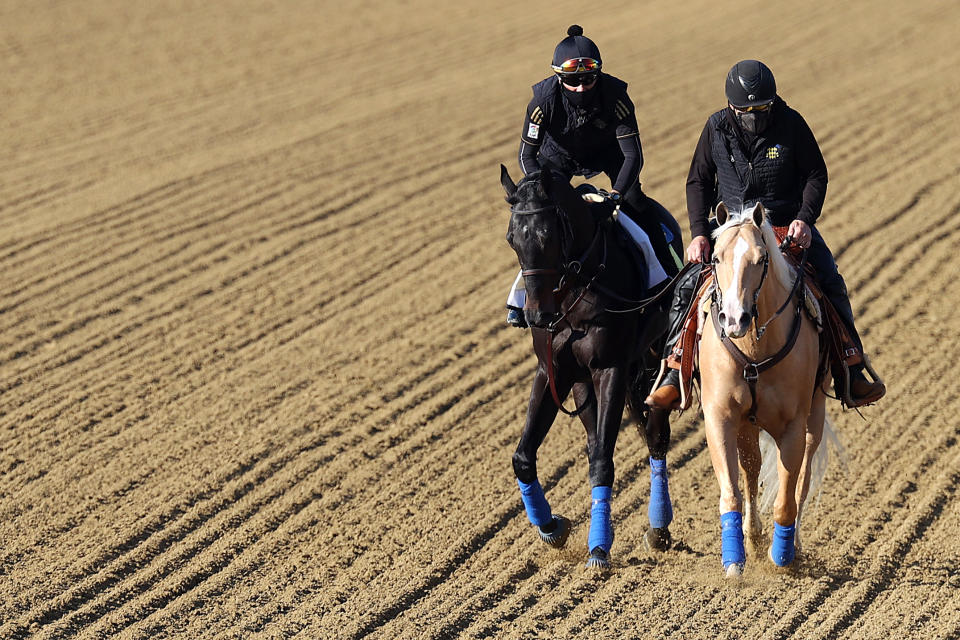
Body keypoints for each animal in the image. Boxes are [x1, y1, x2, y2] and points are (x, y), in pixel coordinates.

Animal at [498, 168, 680, 568]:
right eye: (511, 238)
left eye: (548, 234)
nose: (537, 315)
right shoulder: (553, 371)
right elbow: (523, 456)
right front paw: (550, 527)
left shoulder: (610, 369)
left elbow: (603, 462)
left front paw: (598, 547)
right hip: (584, 384)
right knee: (596, 439)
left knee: (656, 438)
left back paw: (659, 529)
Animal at [700, 202, 828, 576]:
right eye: (716, 257)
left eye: (760, 259)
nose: (734, 320)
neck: (755, 348)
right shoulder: (720, 418)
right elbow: (731, 491)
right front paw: (734, 561)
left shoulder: (793, 426)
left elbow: (786, 499)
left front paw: (782, 557)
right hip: (747, 425)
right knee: (751, 469)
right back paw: (752, 536)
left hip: (815, 417)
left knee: (802, 482)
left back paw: (790, 544)